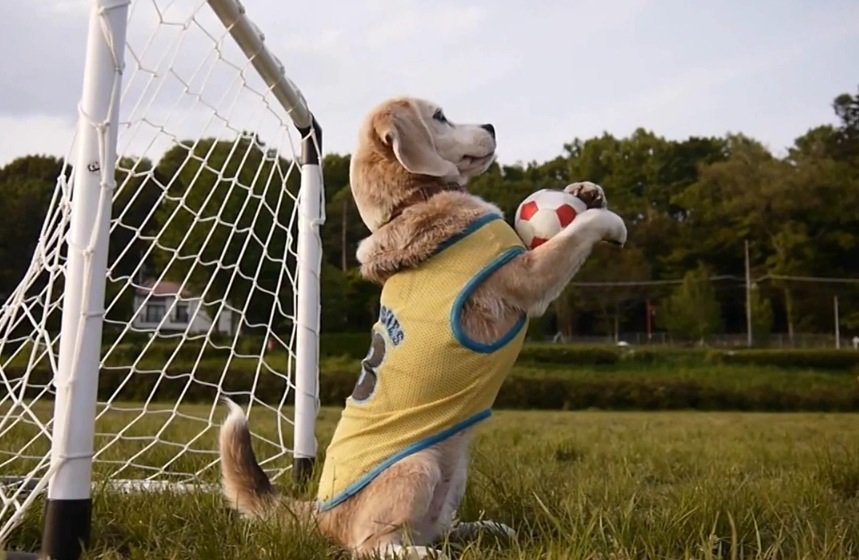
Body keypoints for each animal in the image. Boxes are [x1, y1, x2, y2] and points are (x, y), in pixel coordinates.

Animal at [218, 97, 628, 560]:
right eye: (439, 117)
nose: (492, 125)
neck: (412, 203)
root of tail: (319, 513)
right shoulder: (529, 275)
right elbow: (574, 233)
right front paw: (609, 221)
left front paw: (586, 193)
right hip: (417, 466)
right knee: (373, 546)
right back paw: (431, 554)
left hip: (454, 471)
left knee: (432, 528)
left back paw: (482, 531)